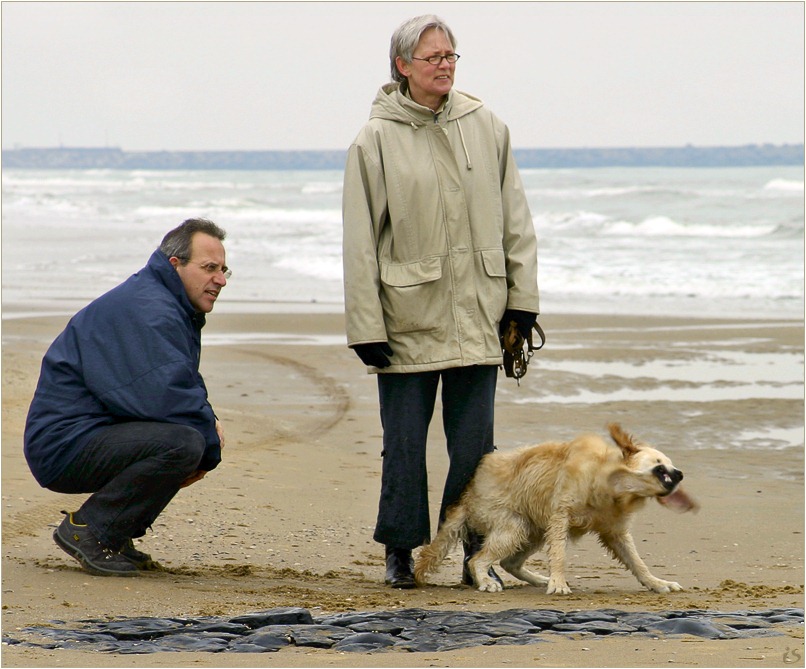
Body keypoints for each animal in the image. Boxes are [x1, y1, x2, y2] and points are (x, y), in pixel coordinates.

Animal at [414, 422, 696, 596]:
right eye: (660, 465)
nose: (681, 474)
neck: (609, 484)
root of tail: (468, 494)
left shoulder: (615, 532)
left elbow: (638, 563)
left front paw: (657, 583)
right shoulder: (561, 516)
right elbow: (559, 555)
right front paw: (558, 583)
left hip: (534, 531)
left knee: (508, 561)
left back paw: (539, 579)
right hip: (514, 526)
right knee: (477, 559)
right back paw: (486, 580)